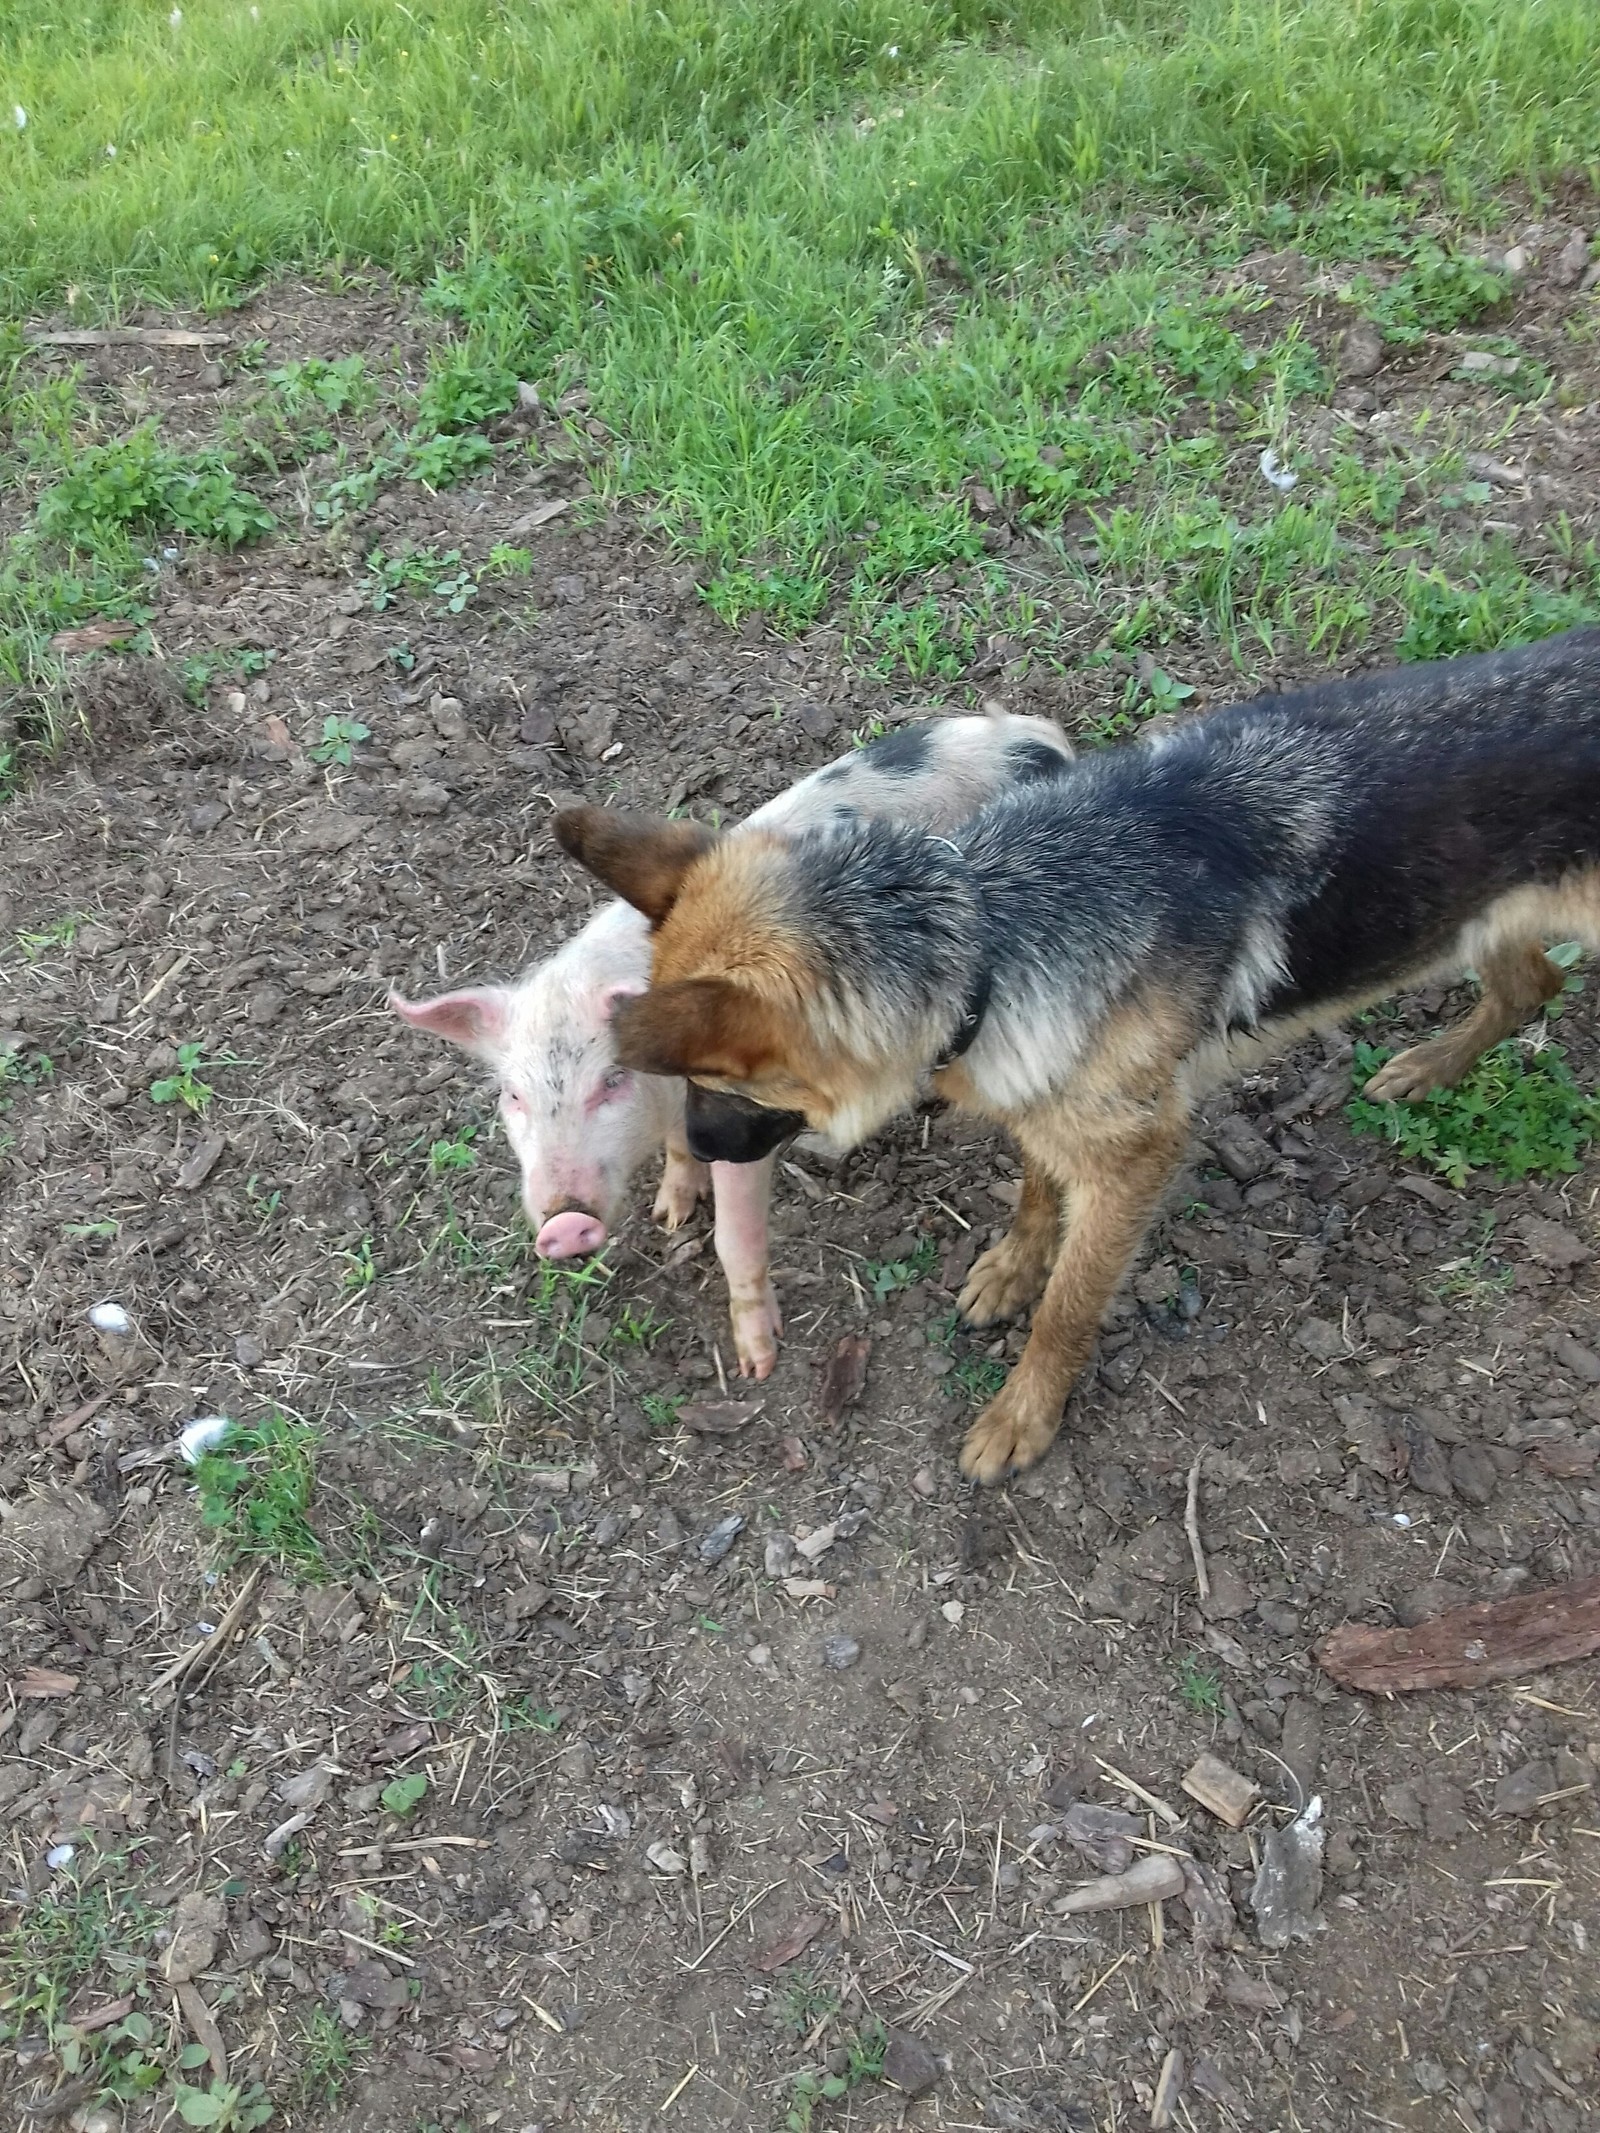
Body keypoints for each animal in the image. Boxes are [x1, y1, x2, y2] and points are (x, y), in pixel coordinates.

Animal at [558, 631, 1600, 1493]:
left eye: (713, 1083)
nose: (694, 1165)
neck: (986, 927)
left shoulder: (1135, 1160)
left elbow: (1070, 1304)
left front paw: (1024, 1412)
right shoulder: (1047, 1091)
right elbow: (1034, 1187)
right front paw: (1014, 1266)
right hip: (1485, 921)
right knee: (1532, 984)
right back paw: (1429, 1068)